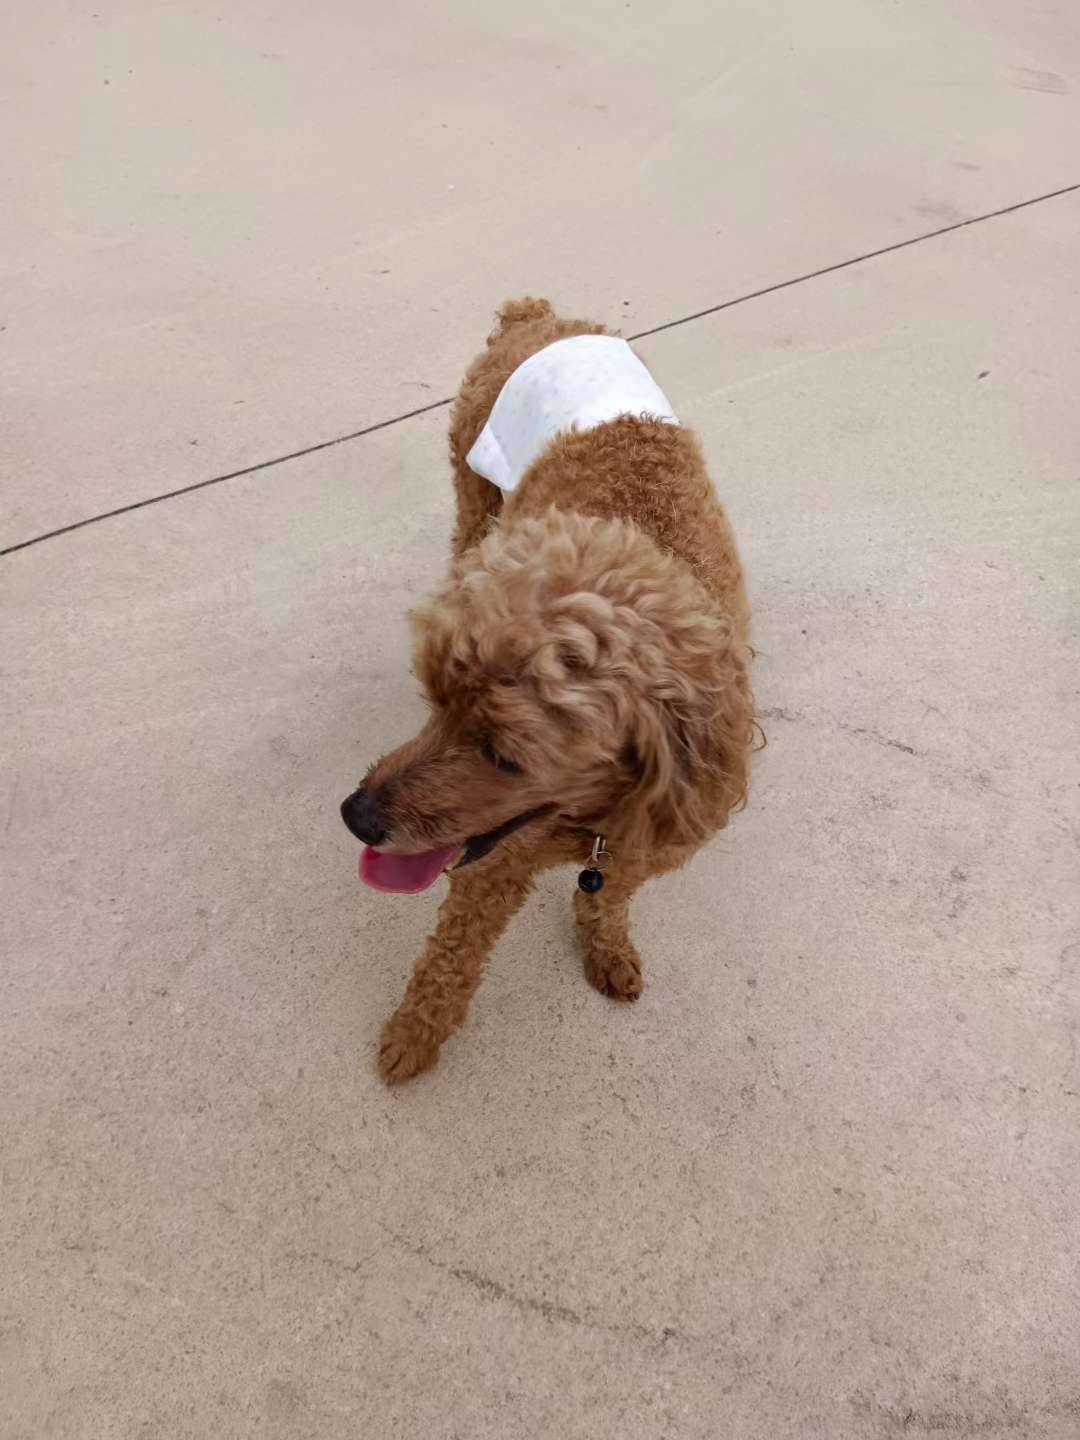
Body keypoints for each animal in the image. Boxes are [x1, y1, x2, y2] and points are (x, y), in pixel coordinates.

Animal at [341, 298, 755, 1083]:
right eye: (433, 701)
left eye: (506, 756)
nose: (355, 816)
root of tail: (540, 317)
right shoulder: (492, 864)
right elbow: (451, 958)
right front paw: (413, 1036)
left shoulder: (639, 847)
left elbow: (608, 903)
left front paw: (607, 949)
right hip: (473, 488)